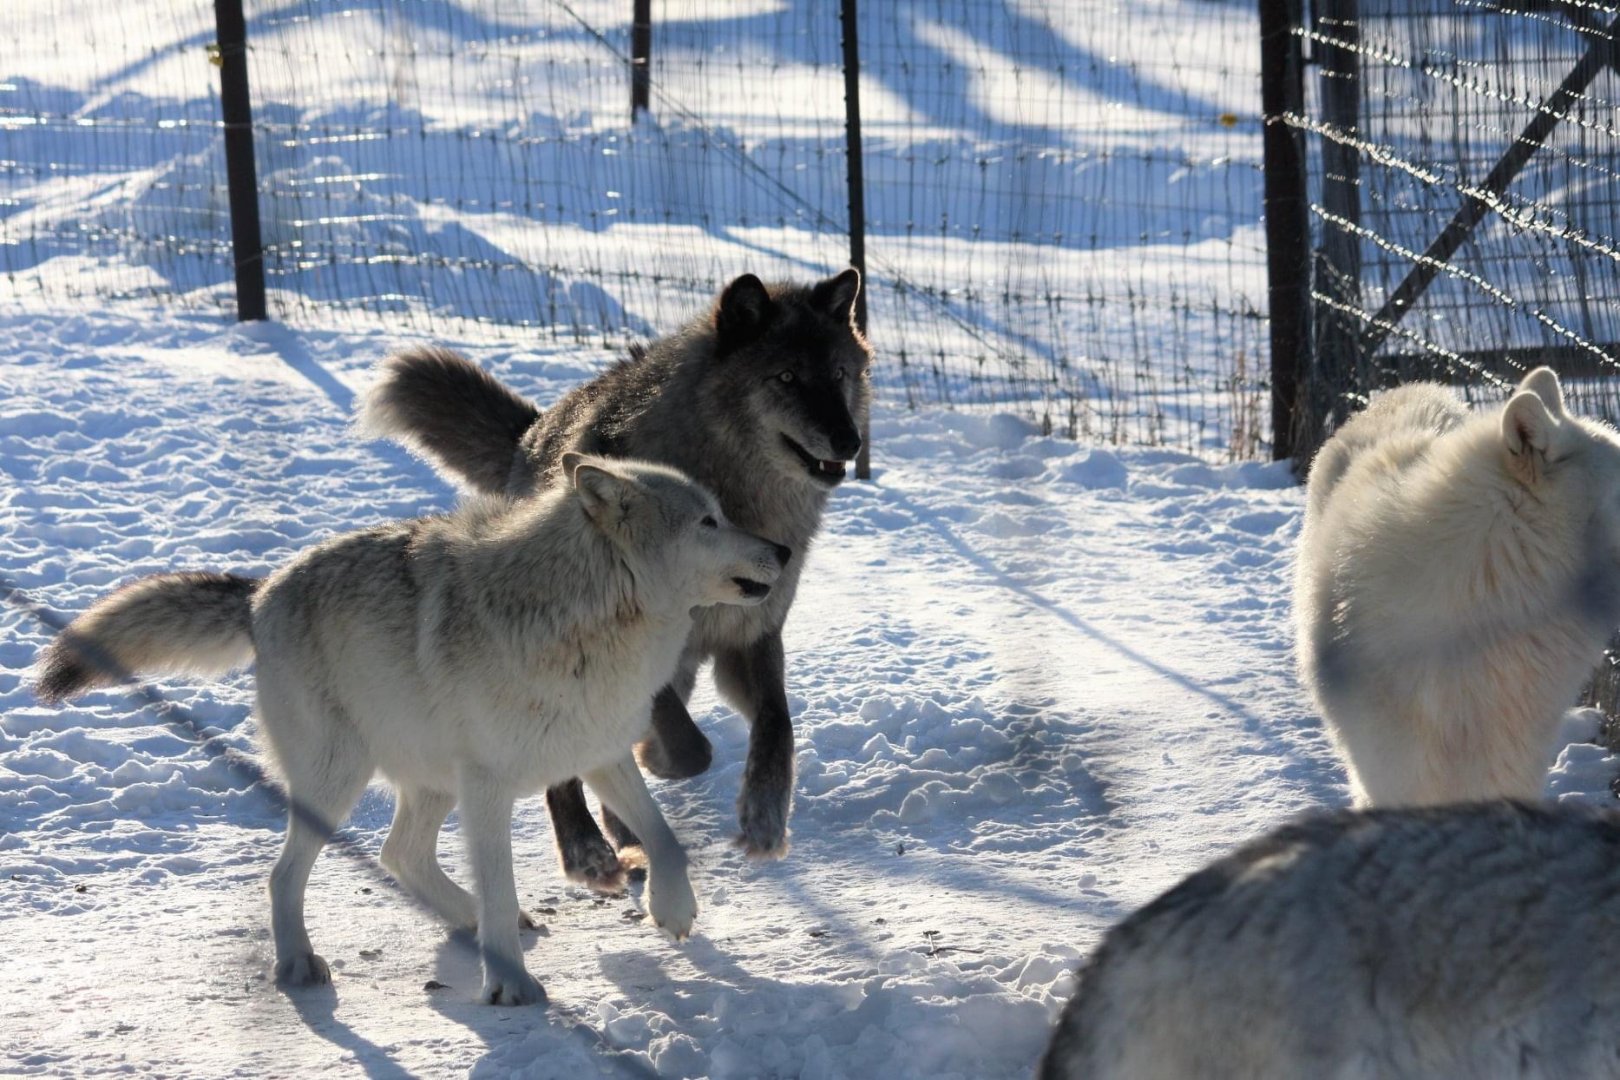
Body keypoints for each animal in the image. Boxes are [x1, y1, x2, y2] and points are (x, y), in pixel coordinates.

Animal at [34, 454, 787, 1005]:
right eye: (708, 521)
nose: (781, 548)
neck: (585, 618)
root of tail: (260, 594)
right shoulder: (489, 788)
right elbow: (504, 882)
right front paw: (510, 986)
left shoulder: (600, 753)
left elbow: (664, 841)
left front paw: (673, 911)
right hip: (339, 785)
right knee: (286, 876)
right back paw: (300, 963)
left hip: (428, 786)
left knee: (401, 855)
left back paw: (470, 921)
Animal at [360, 268, 870, 884]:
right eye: (788, 377)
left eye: (838, 374)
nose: (850, 441)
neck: (740, 500)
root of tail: (532, 434)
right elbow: (688, 745)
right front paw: (654, 762)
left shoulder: (752, 637)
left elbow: (778, 726)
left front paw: (764, 818)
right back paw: (586, 847)